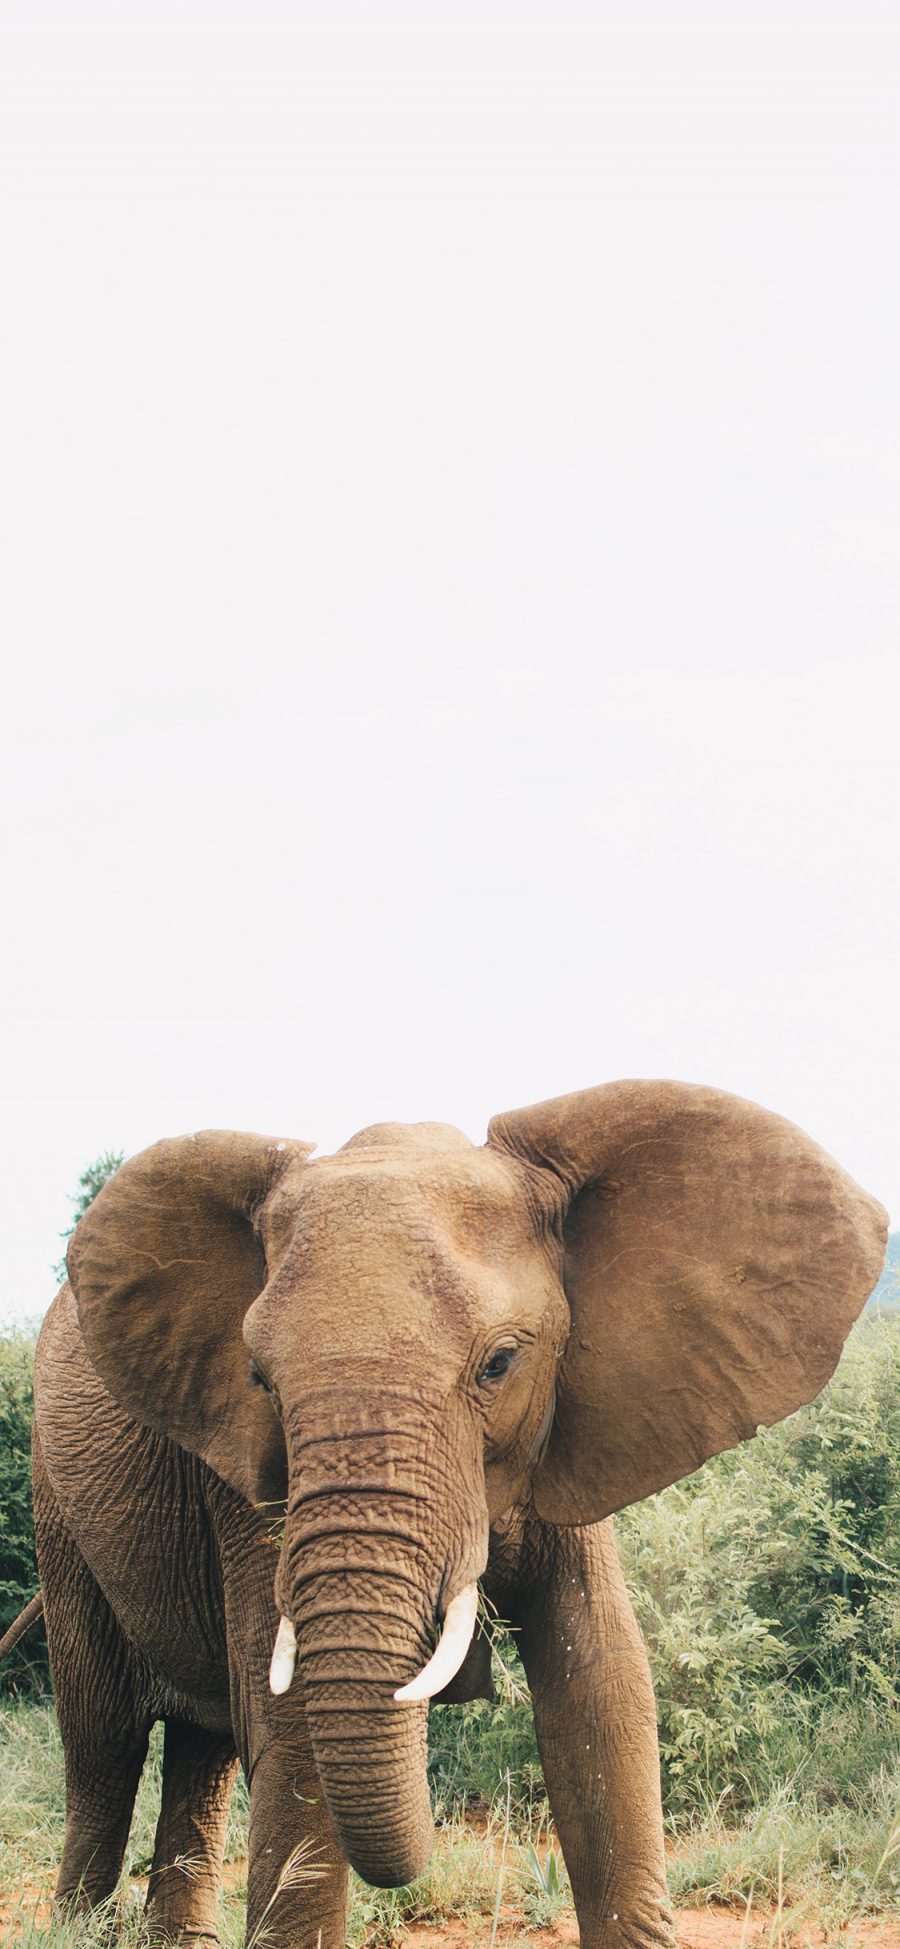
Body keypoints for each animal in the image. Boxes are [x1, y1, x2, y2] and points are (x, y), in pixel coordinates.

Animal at [33, 1083, 884, 1949]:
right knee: (103, 1741)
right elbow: (288, 1718)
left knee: (199, 1746)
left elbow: (600, 1681)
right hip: (56, 1510)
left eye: (500, 1362)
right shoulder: (247, 1472)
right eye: (261, 1380)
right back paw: (76, 1923)